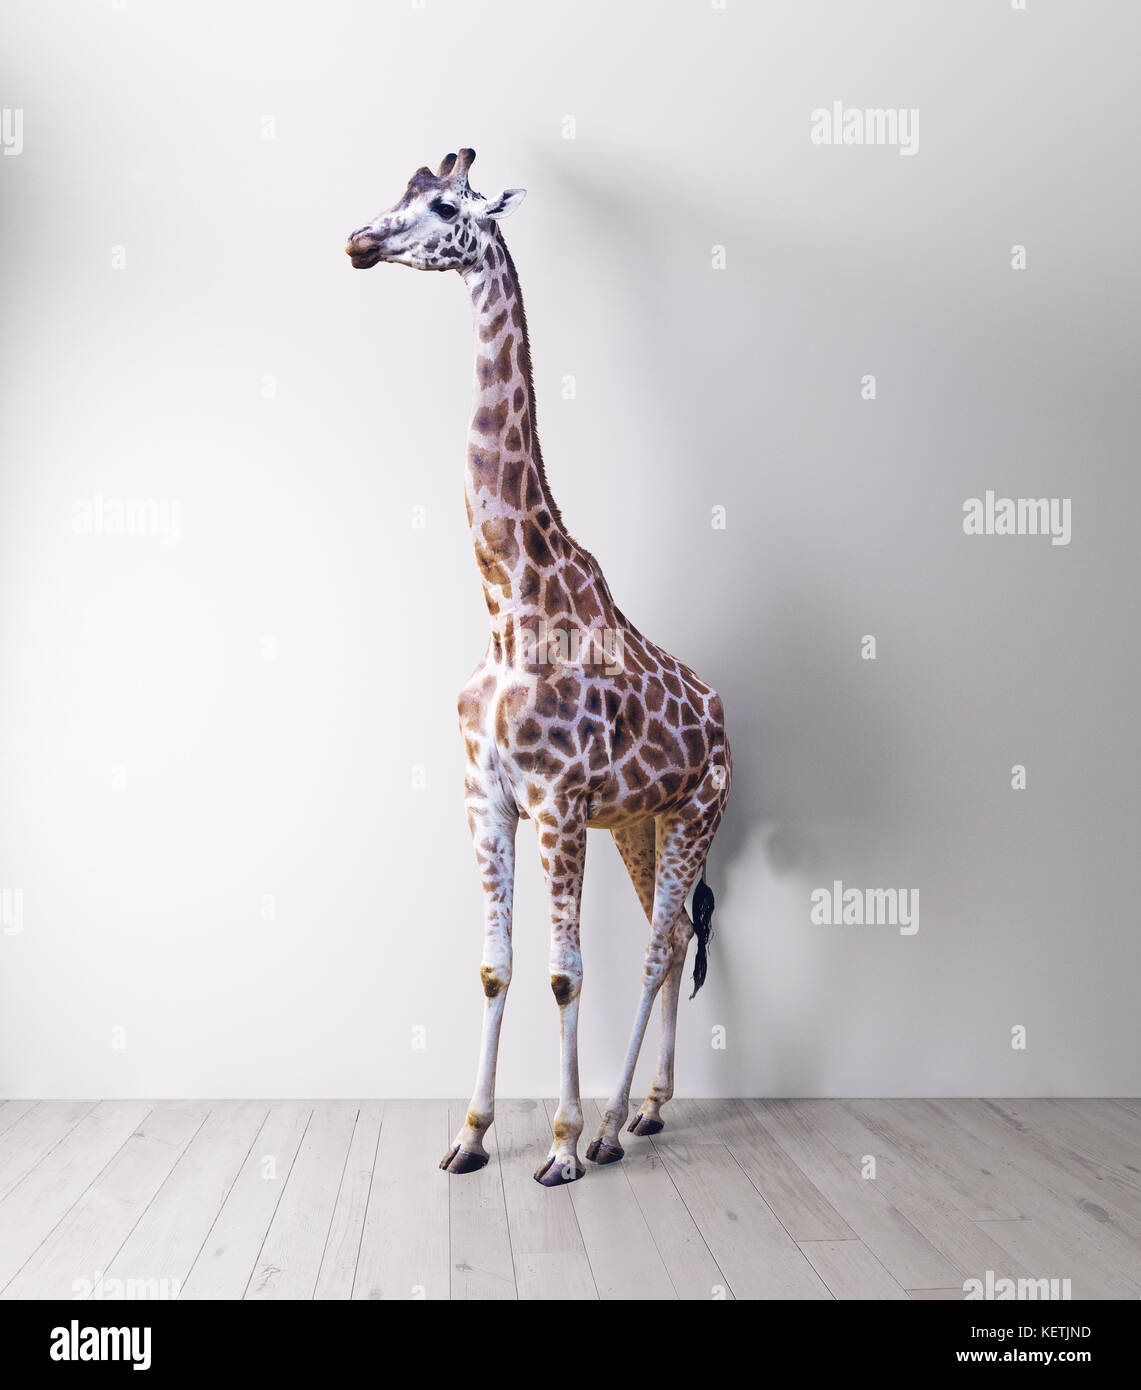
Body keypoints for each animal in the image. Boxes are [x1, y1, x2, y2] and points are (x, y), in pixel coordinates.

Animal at [346, 150, 731, 1185]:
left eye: (444, 204)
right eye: (395, 192)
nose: (357, 241)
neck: (507, 603)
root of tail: (727, 720)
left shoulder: (557, 800)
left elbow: (564, 973)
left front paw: (556, 1146)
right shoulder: (487, 794)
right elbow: (496, 965)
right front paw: (470, 1136)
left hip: (695, 811)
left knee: (655, 949)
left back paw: (605, 1128)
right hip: (639, 822)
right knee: (673, 941)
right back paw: (647, 1111)